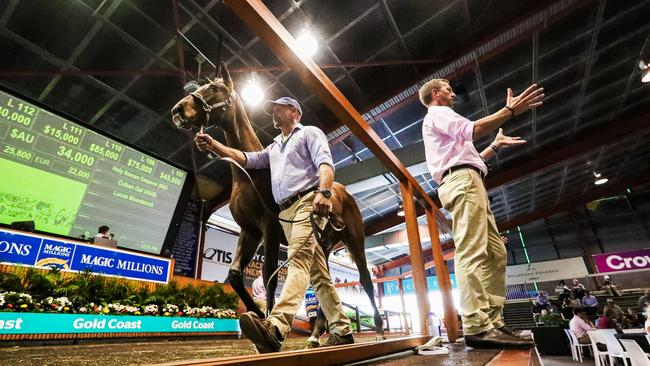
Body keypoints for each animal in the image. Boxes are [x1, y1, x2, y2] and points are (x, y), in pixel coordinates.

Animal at [172, 61, 382, 342]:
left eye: (214, 88)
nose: (178, 109)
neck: (249, 175)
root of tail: (344, 194)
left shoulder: (269, 229)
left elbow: (269, 274)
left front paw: (268, 323)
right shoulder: (250, 232)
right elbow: (235, 275)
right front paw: (258, 315)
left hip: (354, 240)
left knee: (366, 279)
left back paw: (378, 330)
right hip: (321, 245)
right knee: (323, 282)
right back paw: (319, 335)